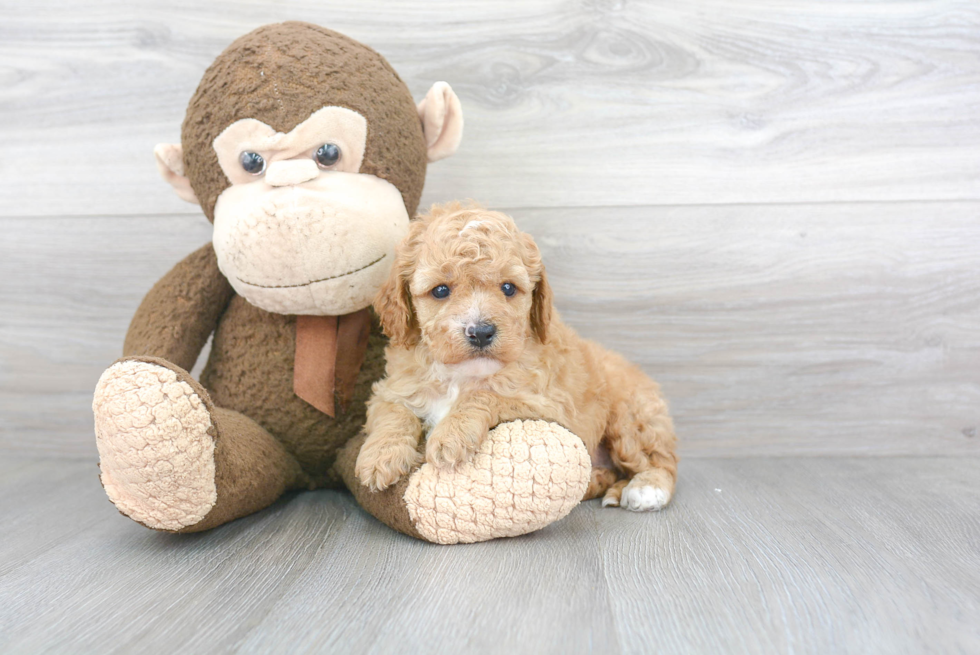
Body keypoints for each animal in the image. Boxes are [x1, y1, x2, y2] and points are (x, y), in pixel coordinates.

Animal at [356, 202, 676, 510]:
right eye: (441, 290)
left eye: (508, 288)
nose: (481, 332)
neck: (462, 373)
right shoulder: (392, 387)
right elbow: (392, 413)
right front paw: (379, 457)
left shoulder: (546, 405)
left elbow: (484, 395)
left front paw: (450, 435)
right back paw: (598, 482)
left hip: (631, 416)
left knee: (660, 461)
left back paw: (647, 489)